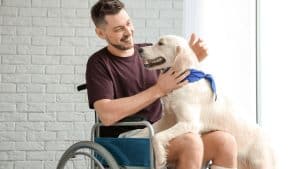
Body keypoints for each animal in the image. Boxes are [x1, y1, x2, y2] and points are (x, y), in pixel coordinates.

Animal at [137, 35, 276, 169]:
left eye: (161, 43)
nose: (139, 50)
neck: (187, 79)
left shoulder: (189, 123)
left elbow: (157, 136)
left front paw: (160, 158)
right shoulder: (168, 119)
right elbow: (148, 132)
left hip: (262, 164)